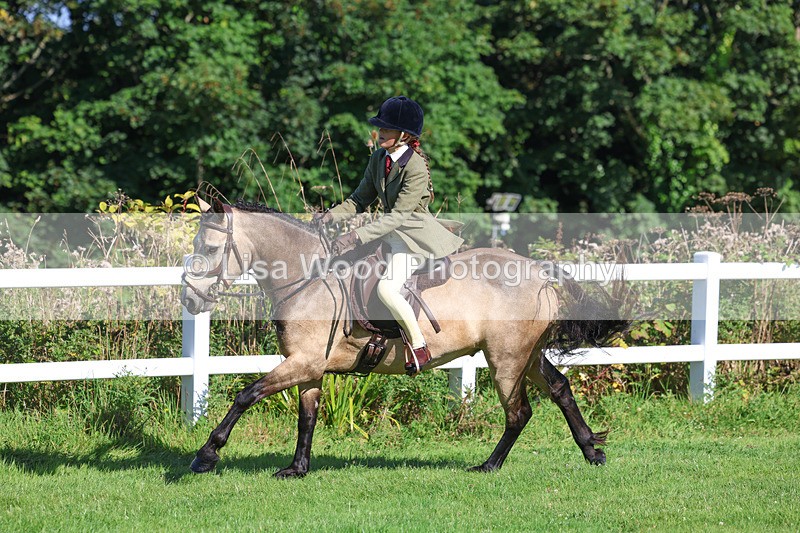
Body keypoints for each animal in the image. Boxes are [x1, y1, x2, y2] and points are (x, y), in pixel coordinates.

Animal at [180, 199, 628, 478]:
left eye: (210, 247)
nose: (189, 298)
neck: (308, 278)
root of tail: (538, 270)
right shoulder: (308, 367)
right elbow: (306, 417)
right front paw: (297, 469)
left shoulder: (302, 363)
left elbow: (247, 394)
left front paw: (206, 455)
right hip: (528, 356)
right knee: (560, 388)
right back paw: (592, 450)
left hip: (507, 359)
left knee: (519, 413)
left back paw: (488, 466)